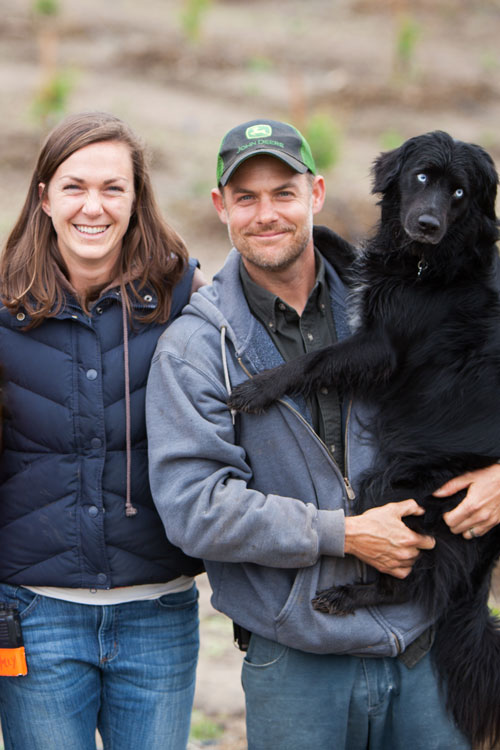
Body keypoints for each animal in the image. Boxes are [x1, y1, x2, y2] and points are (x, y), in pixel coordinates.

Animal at [230, 132, 500, 748]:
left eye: (459, 192)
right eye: (423, 177)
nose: (426, 224)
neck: (426, 265)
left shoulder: (382, 346)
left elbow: (316, 360)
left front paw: (259, 387)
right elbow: (346, 250)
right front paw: (325, 238)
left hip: (394, 487)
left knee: (415, 580)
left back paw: (347, 595)